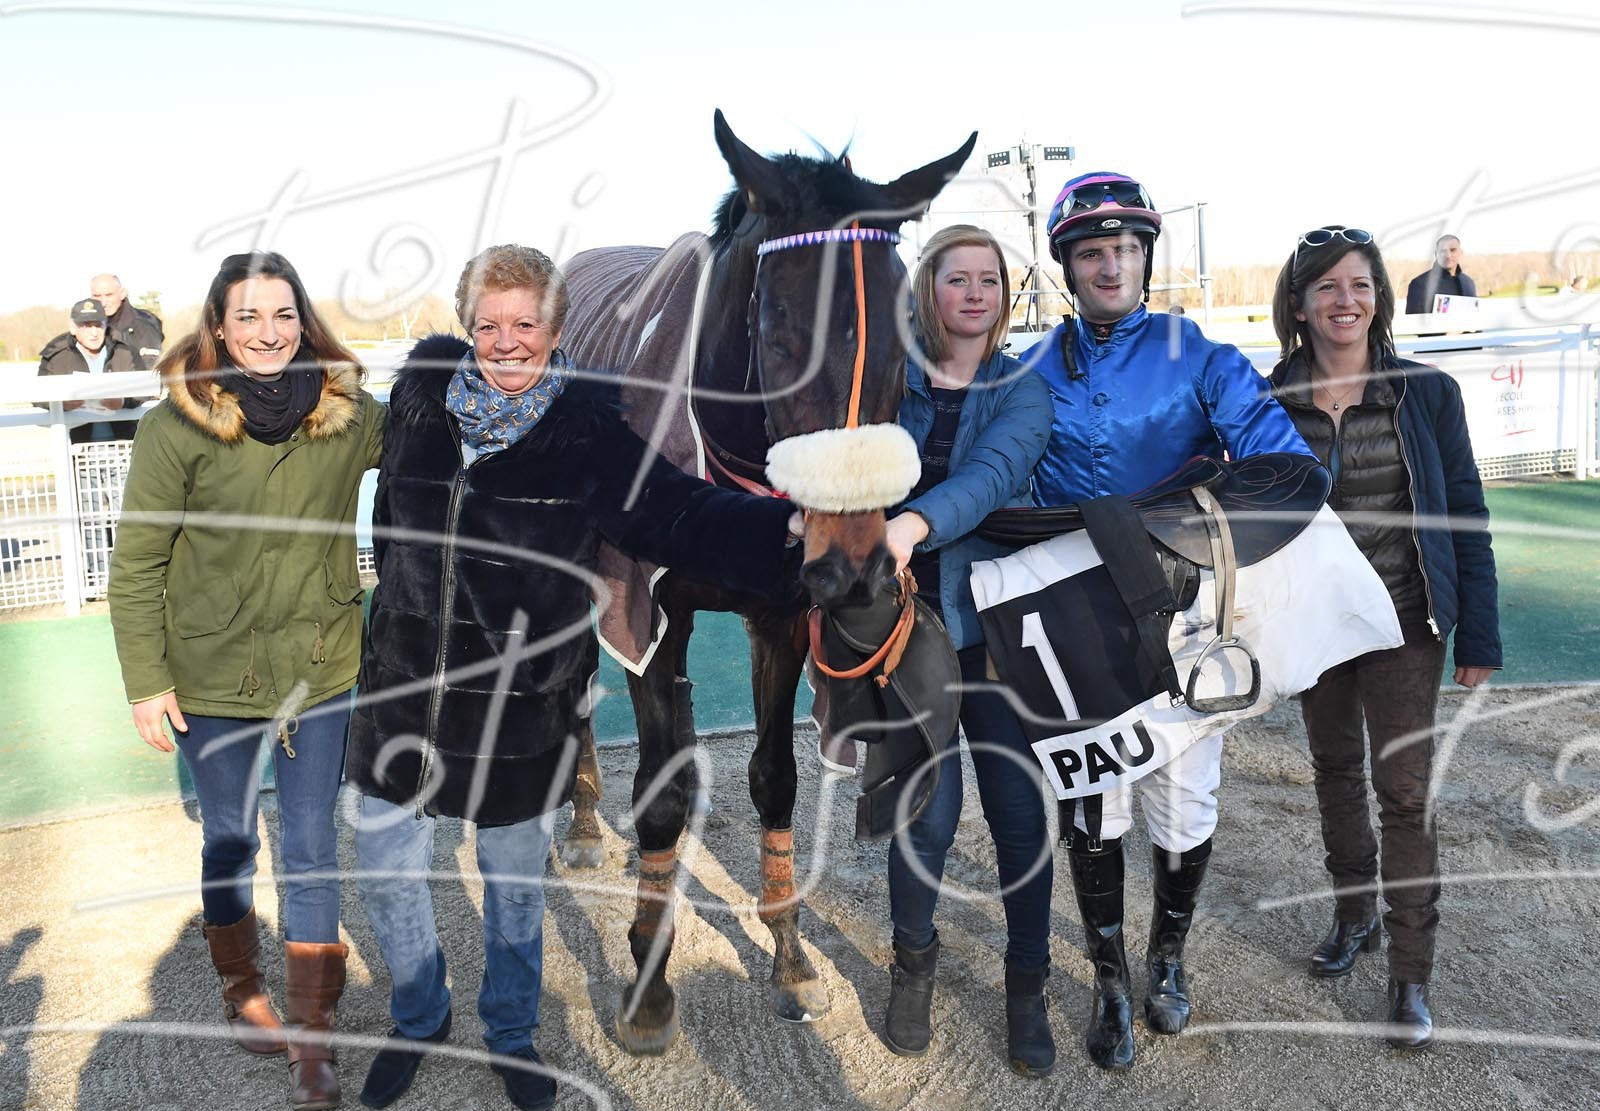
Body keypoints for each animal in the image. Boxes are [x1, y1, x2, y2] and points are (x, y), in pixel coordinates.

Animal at [556, 110, 975, 1054]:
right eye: (782, 336)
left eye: (905, 340)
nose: (855, 566)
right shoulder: (648, 608)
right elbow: (662, 794)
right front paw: (647, 979)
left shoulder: (780, 613)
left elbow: (775, 777)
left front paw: (790, 954)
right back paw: (587, 820)